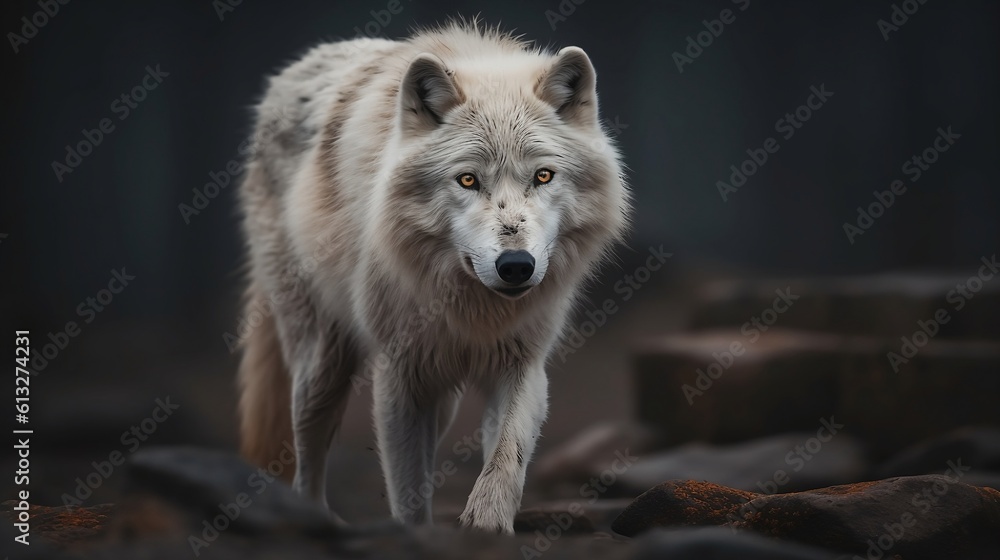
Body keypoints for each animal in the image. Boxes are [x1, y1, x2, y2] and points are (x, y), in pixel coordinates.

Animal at [236, 21, 630, 534]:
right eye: (467, 180)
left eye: (543, 176)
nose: (516, 265)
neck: (473, 307)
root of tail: (290, 72)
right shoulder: (400, 374)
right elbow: (407, 493)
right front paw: (417, 536)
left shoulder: (522, 362)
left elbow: (506, 457)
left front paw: (487, 525)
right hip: (322, 363)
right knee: (307, 454)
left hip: (440, 396)